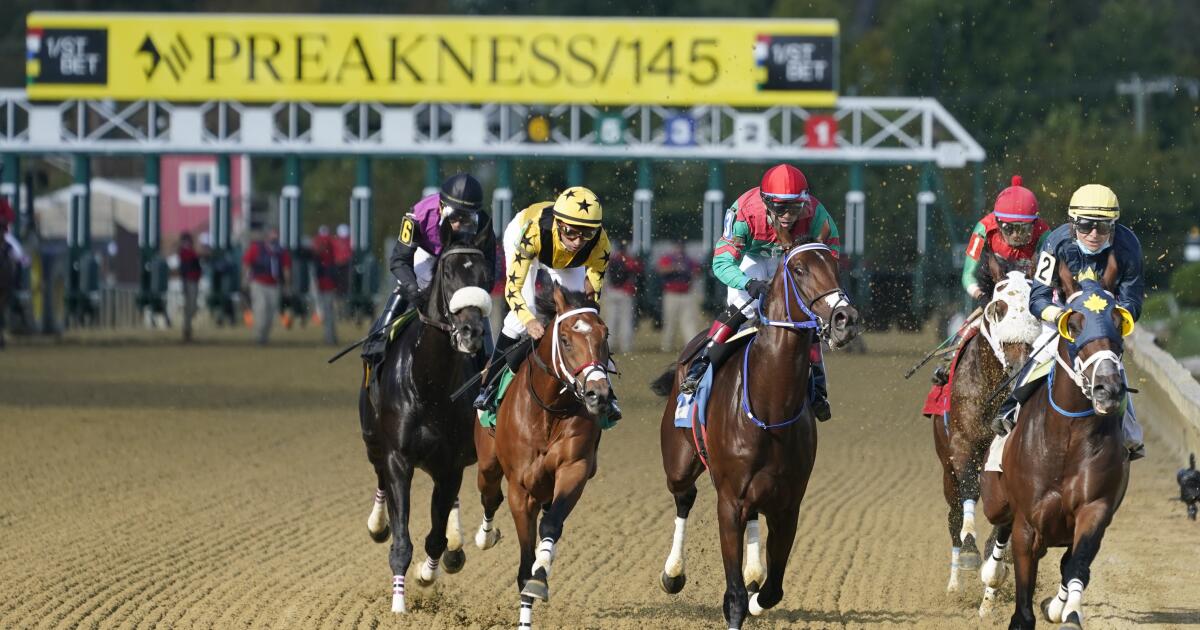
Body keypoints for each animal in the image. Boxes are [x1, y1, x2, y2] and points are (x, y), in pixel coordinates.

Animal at [355, 243, 492, 612]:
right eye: (447, 273)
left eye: (485, 275)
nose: (470, 333)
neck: (430, 385)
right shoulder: (398, 458)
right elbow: (402, 540)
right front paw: (398, 606)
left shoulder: (449, 464)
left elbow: (435, 538)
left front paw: (427, 573)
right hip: (372, 439)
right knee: (378, 476)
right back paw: (376, 524)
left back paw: (455, 547)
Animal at [472, 283, 614, 624]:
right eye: (565, 340)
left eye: (605, 336)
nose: (598, 395)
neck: (550, 409)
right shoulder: (520, 488)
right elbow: (524, 564)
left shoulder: (574, 468)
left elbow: (550, 526)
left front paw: (541, 574)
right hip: (488, 465)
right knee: (489, 496)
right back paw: (484, 536)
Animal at [652, 235, 859, 628]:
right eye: (799, 269)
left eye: (836, 265)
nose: (846, 319)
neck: (771, 405)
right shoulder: (728, 501)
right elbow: (733, 595)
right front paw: (736, 600)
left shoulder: (788, 504)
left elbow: (772, 590)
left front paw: (755, 593)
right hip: (678, 463)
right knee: (684, 496)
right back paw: (672, 573)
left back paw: (752, 572)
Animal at [926, 252, 1041, 590]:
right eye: (996, 308)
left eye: (1034, 309)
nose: (1017, 366)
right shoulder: (963, 444)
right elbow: (970, 490)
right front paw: (969, 551)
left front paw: (996, 552)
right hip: (945, 464)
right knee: (953, 513)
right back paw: (954, 583)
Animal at [974, 256, 1132, 628]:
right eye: (1073, 323)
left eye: (1119, 321)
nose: (1108, 387)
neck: (1067, 439)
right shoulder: (1028, 523)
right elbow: (1023, 592)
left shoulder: (1096, 509)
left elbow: (1076, 565)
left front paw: (1067, 610)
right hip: (995, 499)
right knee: (1001, 525)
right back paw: (991, 578)